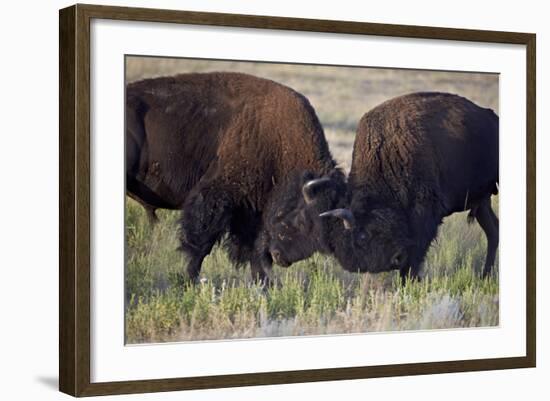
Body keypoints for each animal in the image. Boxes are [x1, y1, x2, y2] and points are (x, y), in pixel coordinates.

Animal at [126, 72, 342, 284]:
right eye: (304, 219)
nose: (281, 257)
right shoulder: (216, 197)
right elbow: (201, 242)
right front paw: (192, 279)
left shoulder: (252, 211)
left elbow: (254, 250)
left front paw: (265, 284)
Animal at [270, 93, 502, 282]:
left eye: (363, 237)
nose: (394, 259)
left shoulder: (426, 215)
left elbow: (416, 255)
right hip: (482, 201)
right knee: (493, 230)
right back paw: (485, 277)